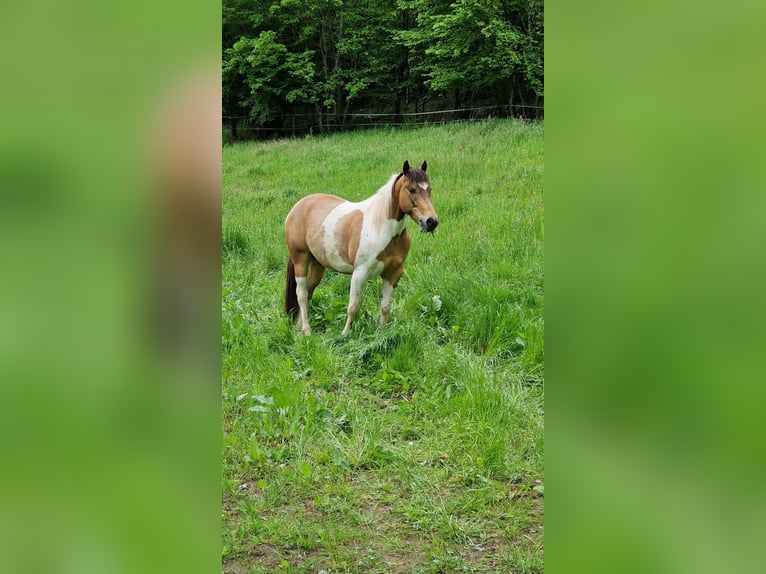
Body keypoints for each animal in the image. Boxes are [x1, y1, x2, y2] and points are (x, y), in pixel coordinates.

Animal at [284, 160, 439, 335]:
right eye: (412, 189)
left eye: (429, 189)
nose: (431, 221)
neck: (382, 229)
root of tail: (298, 206)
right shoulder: (359, 273)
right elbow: (353, 307)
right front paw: (344, 335)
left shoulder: (393, 273)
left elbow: (385, 308)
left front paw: (382, 333)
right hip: (300, 260)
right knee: (302, 295)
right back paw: (307, 331)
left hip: (318, 265)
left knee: (309, 291)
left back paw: (300, 327)